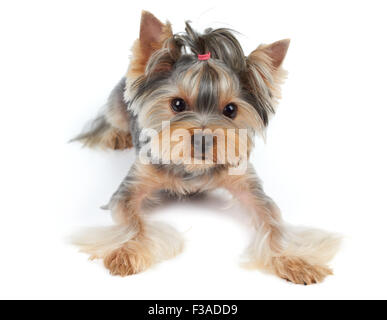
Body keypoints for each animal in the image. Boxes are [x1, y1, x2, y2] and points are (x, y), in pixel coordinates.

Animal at [71, 11, 342, 284]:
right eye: (177, 104)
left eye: (230, 109)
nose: (203, 139)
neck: (192, 168)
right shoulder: (135, 182)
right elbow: (130, 220)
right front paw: (127, 251)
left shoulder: (244, 178)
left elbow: (272, 221)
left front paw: (294, 259)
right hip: (117, 105)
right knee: (112, 118)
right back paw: (117, 136)